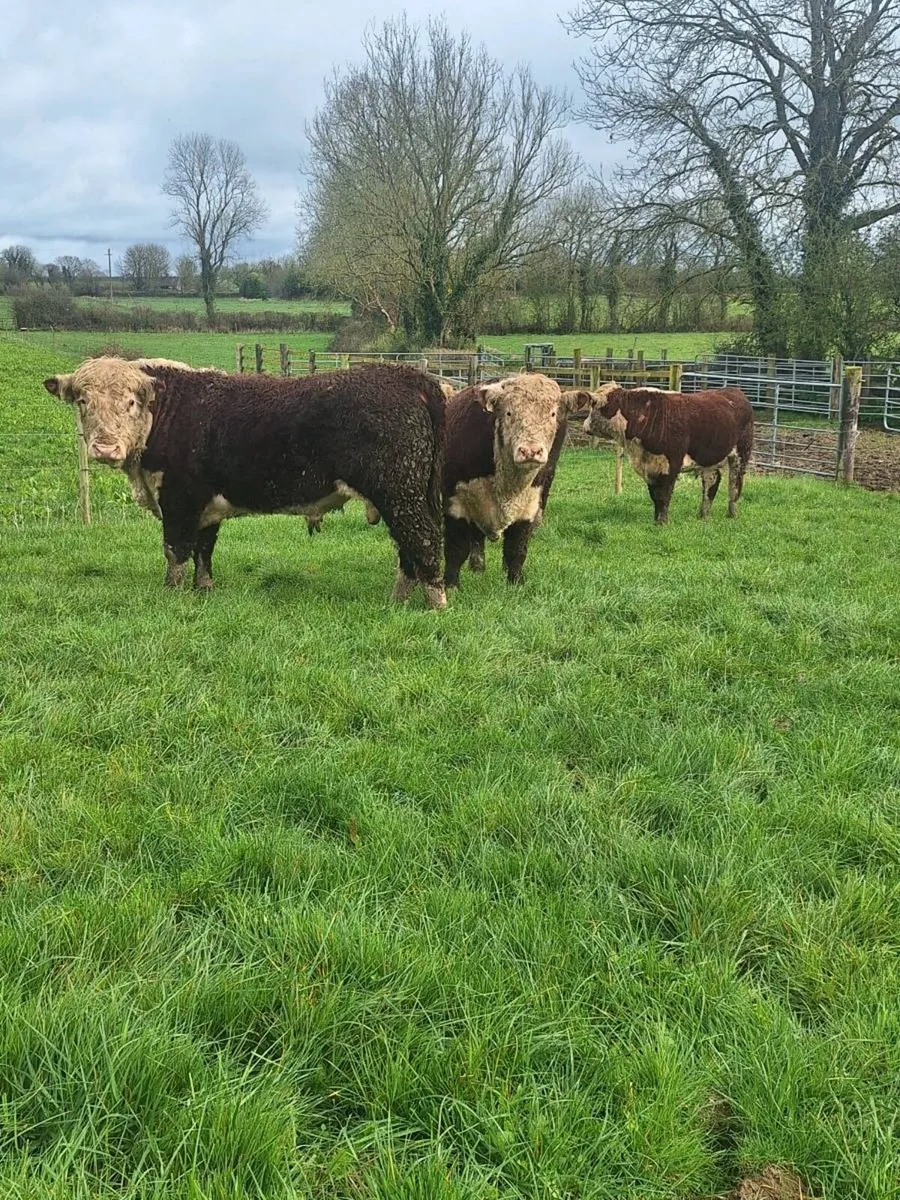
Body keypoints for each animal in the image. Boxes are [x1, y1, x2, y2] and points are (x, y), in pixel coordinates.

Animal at [43, 357, 447, 608]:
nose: (104, 447)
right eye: (82, 401)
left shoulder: (180, 500)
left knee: (424, 541)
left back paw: (435, 602)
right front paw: (204, 589)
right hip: (403, 496)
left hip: (400, 494)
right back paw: (398, 601)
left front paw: (171, 593)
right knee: (408, 549)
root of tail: (408, 376)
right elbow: (204, 549)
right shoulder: (205, 506)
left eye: (131, 402)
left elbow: (176, 551)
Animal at [442, 373, 578, 587]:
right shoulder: (456, 502)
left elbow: (516, 548)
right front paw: (451, 584)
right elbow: (456, 549)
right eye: (508, 413)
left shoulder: (530, 504)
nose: (530, 451)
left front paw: (516, 582)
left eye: (552, 414)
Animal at [578, 382, 754, 523]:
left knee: (735, 486)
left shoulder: (670, 464)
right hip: (709, 458)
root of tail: (735, 392)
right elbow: (655, 495)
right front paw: (656, 521)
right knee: (711, 483)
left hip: (741, 455)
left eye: (592, 407)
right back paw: (703, 516)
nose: (584, 426)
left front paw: (663, 522)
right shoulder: (650, 467)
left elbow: (664, 495)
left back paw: (732, 515)